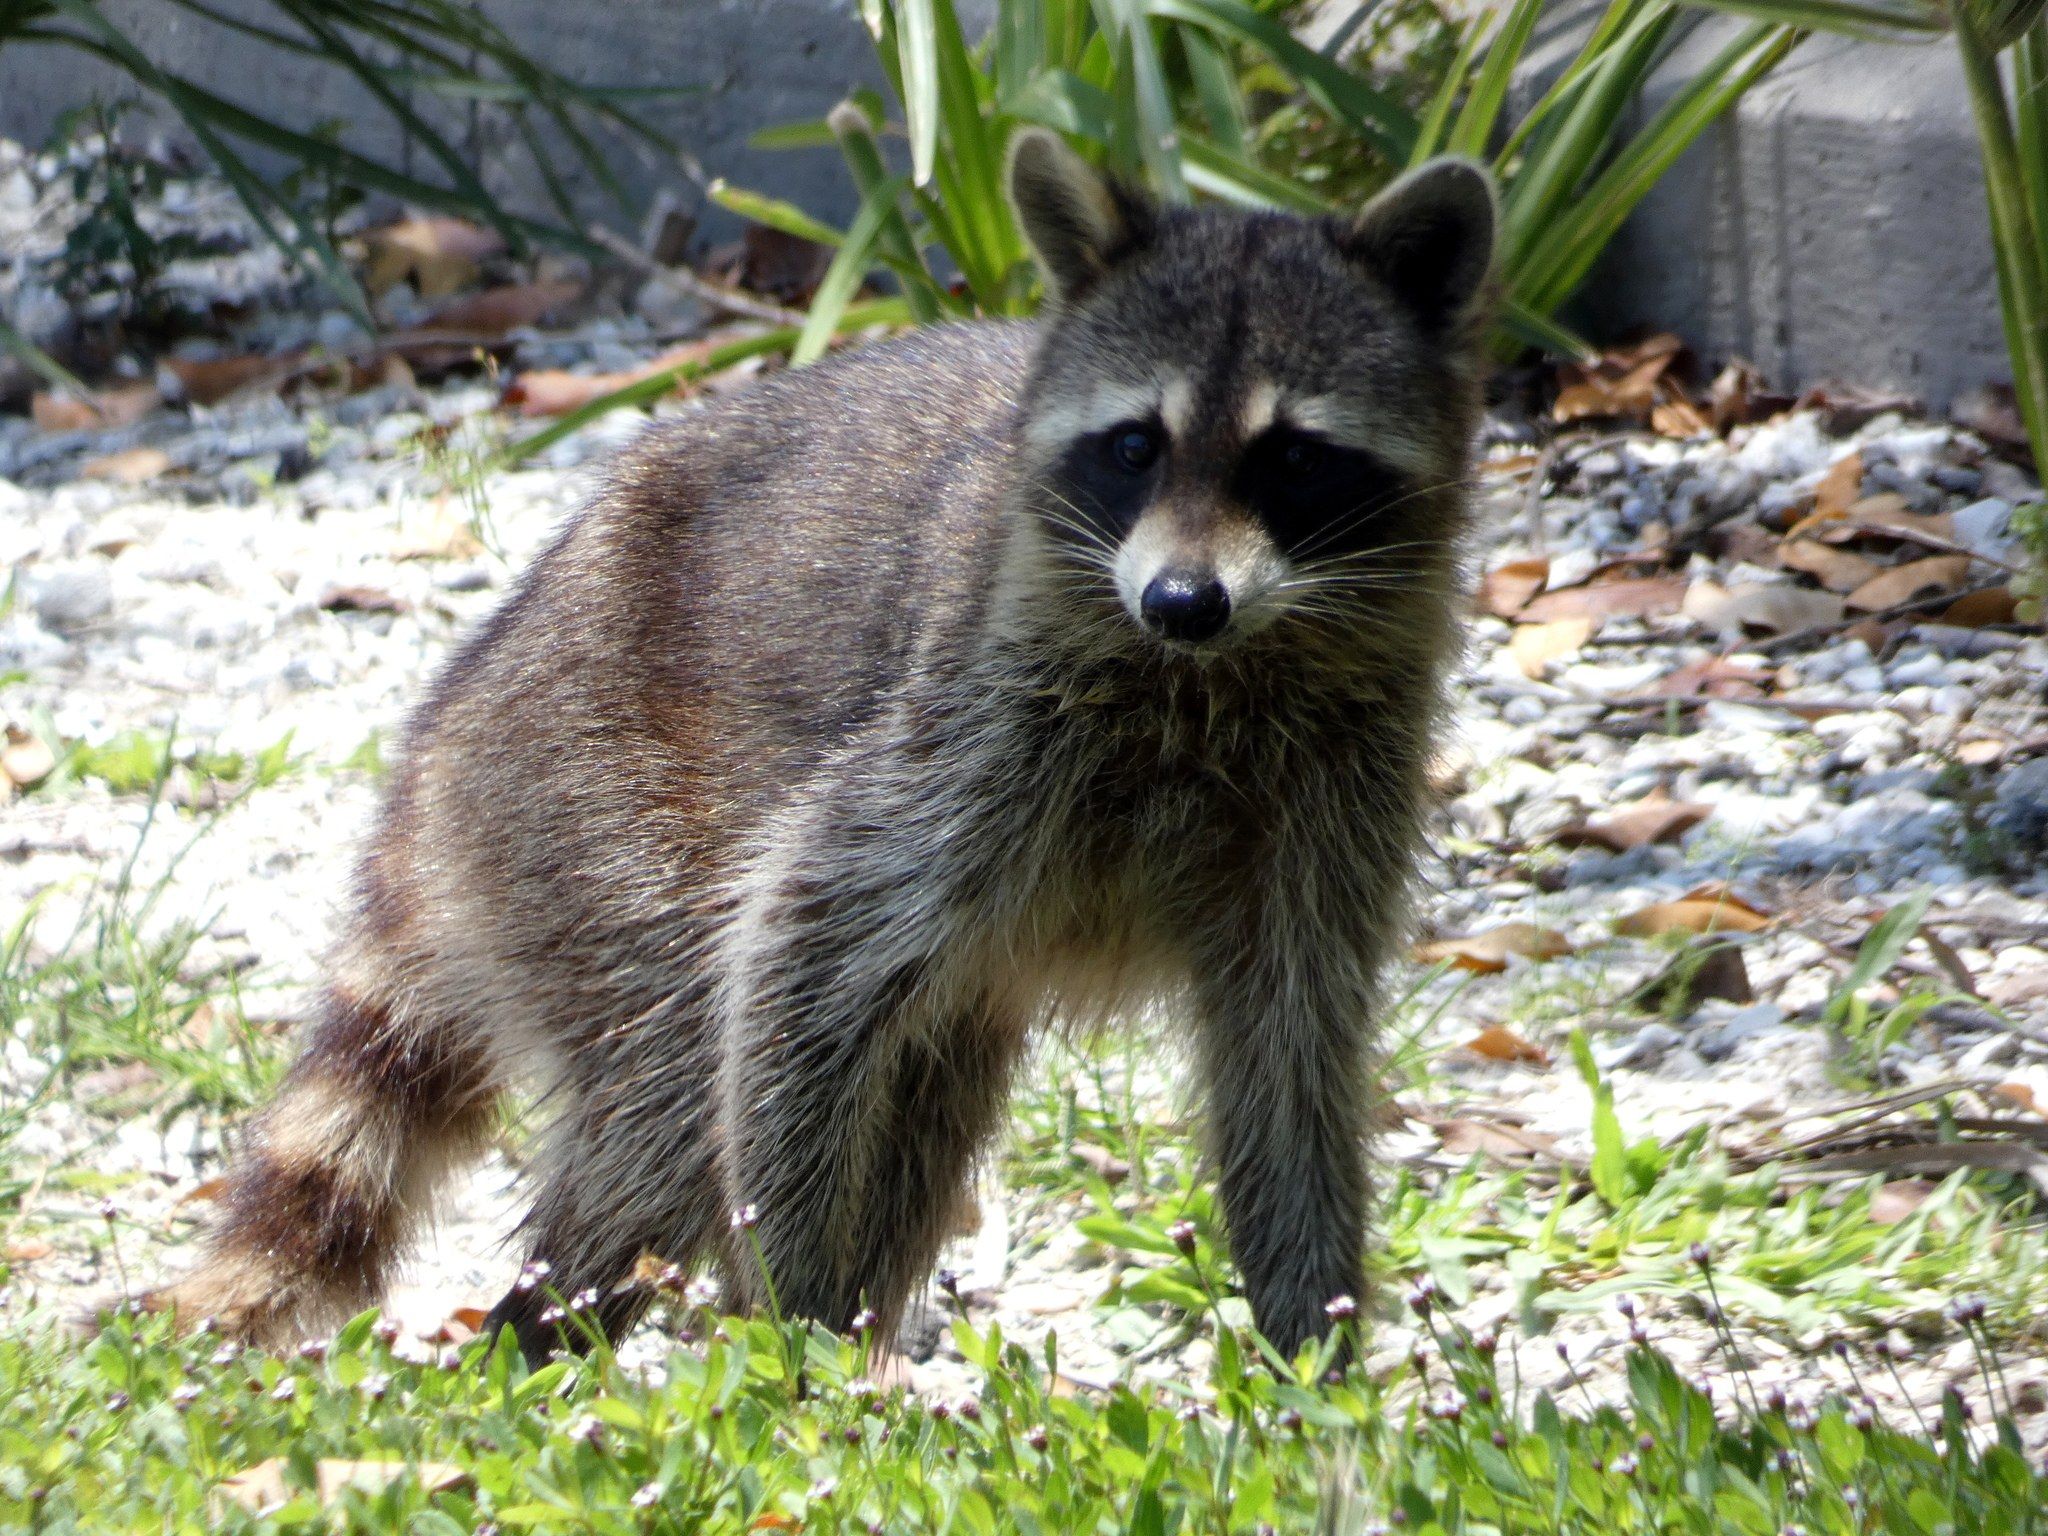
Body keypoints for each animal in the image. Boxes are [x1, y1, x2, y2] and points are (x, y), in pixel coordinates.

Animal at [148, 129, 1497, 1364]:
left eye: (1293, 458)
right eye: (1134, 446)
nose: (1180, 600)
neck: (1218, 665)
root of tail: (464, 698)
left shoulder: (1339, 776)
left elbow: (1293, 1046)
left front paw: (1311, 1345)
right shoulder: (965, 727)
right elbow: (799, 944)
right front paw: (785, 1310)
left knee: (912, 1119)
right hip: (586, 803)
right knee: (672, 1087)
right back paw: (553, 1341)